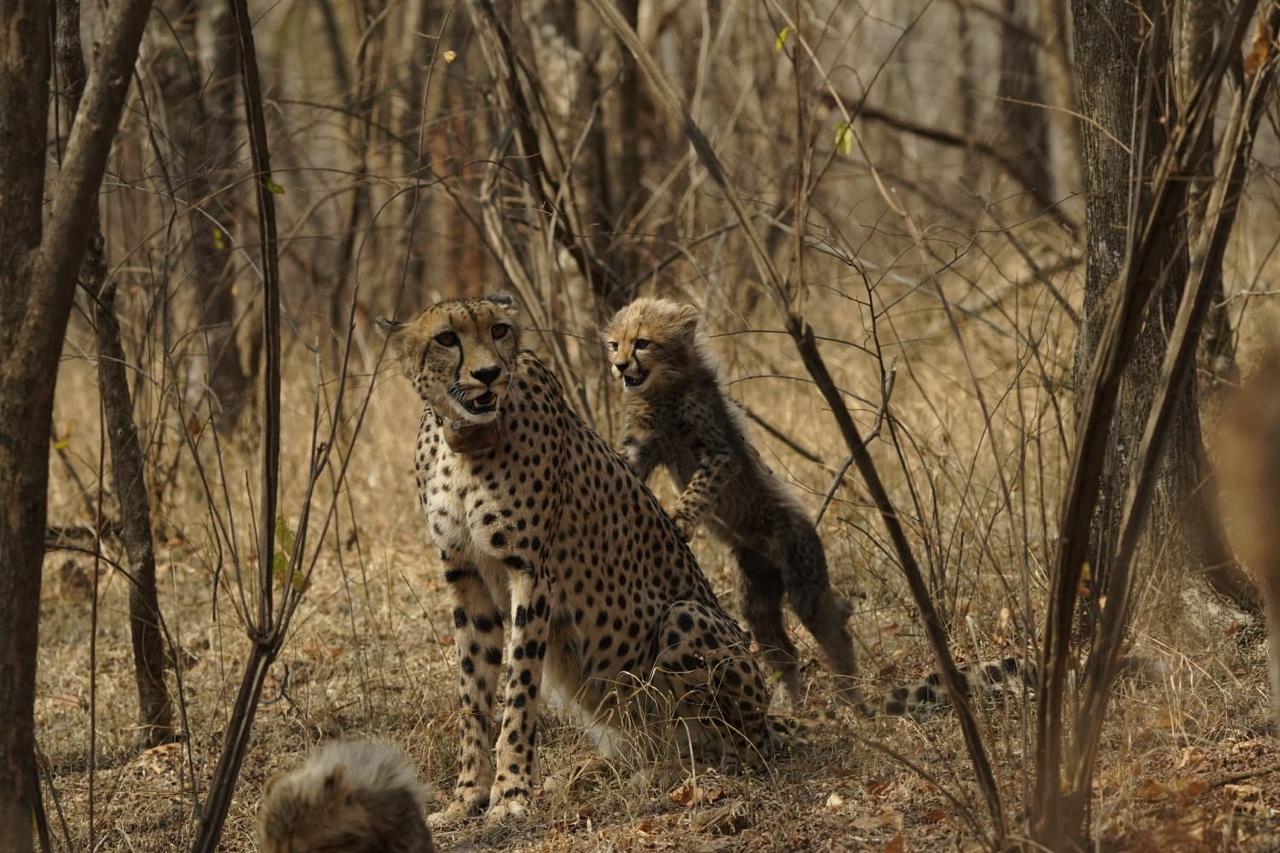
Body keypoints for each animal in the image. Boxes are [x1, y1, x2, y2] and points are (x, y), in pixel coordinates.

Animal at [378, 294, 779, 826]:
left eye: (499, 330)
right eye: (447, 337)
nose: (488, 374)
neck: (464, 441)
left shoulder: (530, 573)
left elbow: (519, 689)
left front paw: (510, 793)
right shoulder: (465, 578)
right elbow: (473, 694)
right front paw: (467, 796)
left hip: (686, 618)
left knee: (731, 744)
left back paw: (680, 773)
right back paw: (597, 771)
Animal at [601, 297, 858, 706]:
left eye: (642, 343)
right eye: (615, 345)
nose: (620, 366)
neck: (664, 388)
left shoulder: (720, 453)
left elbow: (698, 488)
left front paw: (680, 520)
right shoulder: (641, 446)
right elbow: (629, 465)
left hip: (803, 581)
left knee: (833, 632)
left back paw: (853, 696)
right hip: (757, 594)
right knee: (782, 648)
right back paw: (790, 703)